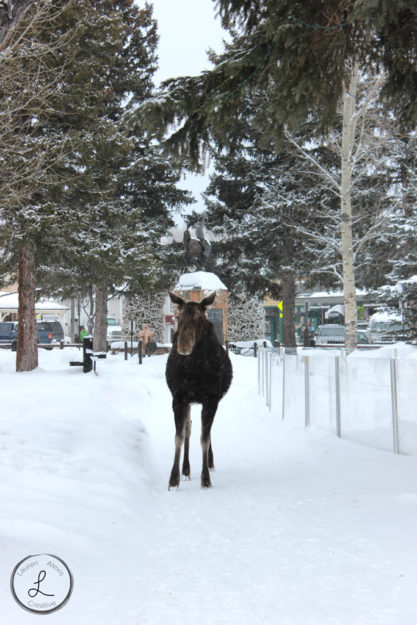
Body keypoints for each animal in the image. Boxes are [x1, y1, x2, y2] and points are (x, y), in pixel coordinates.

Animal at [165, 290, 231, 490]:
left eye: (199, 318)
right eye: (177, 316)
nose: (184, 345)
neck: (194, 369)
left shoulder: (211, 400)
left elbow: (205, 438)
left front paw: (205, 478)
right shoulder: (178, 398)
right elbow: (179, 436)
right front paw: (173, 479)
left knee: (204, 432)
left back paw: (209, 462)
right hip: (188, 402)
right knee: (189, 427)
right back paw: (186, 469)